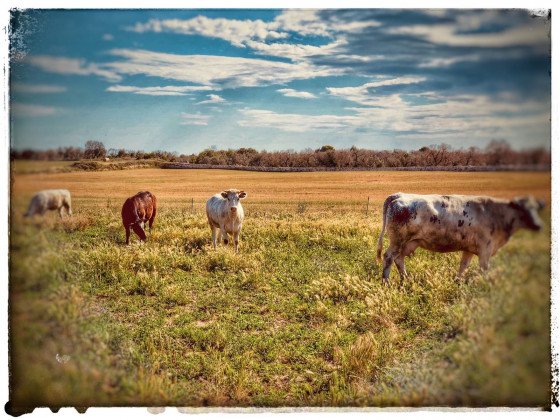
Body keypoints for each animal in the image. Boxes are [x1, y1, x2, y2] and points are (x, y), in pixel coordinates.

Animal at [376, 192, 544, 284]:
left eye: (536, 209)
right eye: (522, 210)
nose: (538, 225)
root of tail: (398, 195)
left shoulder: (469, 249)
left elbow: (464, 265)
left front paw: (458, 282)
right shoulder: (485, 249)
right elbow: (484, 269)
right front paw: (487, 285)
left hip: (407, 243)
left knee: (399, 259)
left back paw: (405, 279)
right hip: (398, 241)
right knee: (389, 257)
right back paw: (386, 282)